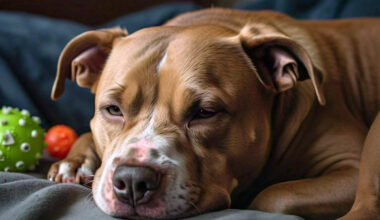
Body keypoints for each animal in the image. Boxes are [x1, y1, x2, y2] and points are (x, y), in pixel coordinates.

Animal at [47, 8, 380, 220]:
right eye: (113, 109)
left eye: (205, 112)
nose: (132, 180)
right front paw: (74, 163)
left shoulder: (350, 169)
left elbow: (273, 197)